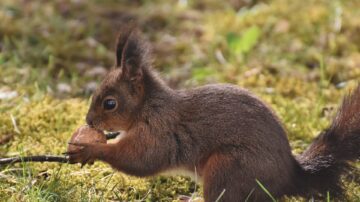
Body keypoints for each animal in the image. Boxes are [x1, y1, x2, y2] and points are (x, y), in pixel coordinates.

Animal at [67, 27, 360, 202]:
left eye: (110, 104)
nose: (89, 121)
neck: (148, 107)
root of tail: (290, 176)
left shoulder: (159, 132)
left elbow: (141, 160)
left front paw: (89, 149)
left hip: (228, 168)